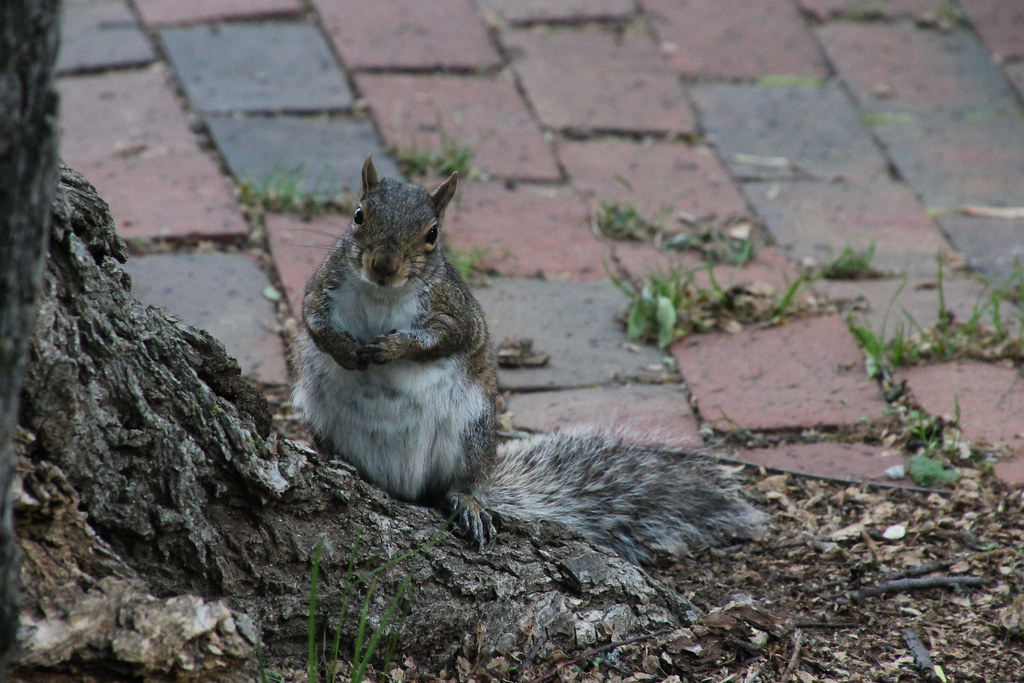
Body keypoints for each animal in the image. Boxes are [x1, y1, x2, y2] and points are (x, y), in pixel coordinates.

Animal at [291, 155, 766, 564]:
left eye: (432, 234)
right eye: (358, 215)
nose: (383, 266)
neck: (381, 294)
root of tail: (401, 484)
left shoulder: (454, 312)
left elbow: (443, 339)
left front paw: (392, 348)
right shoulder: (321, 287)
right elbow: (313, 322)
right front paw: (342, 348)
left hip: (470, 431)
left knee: (457, 484)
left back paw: (467, 501)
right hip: (324, 419)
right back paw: (342, 464)